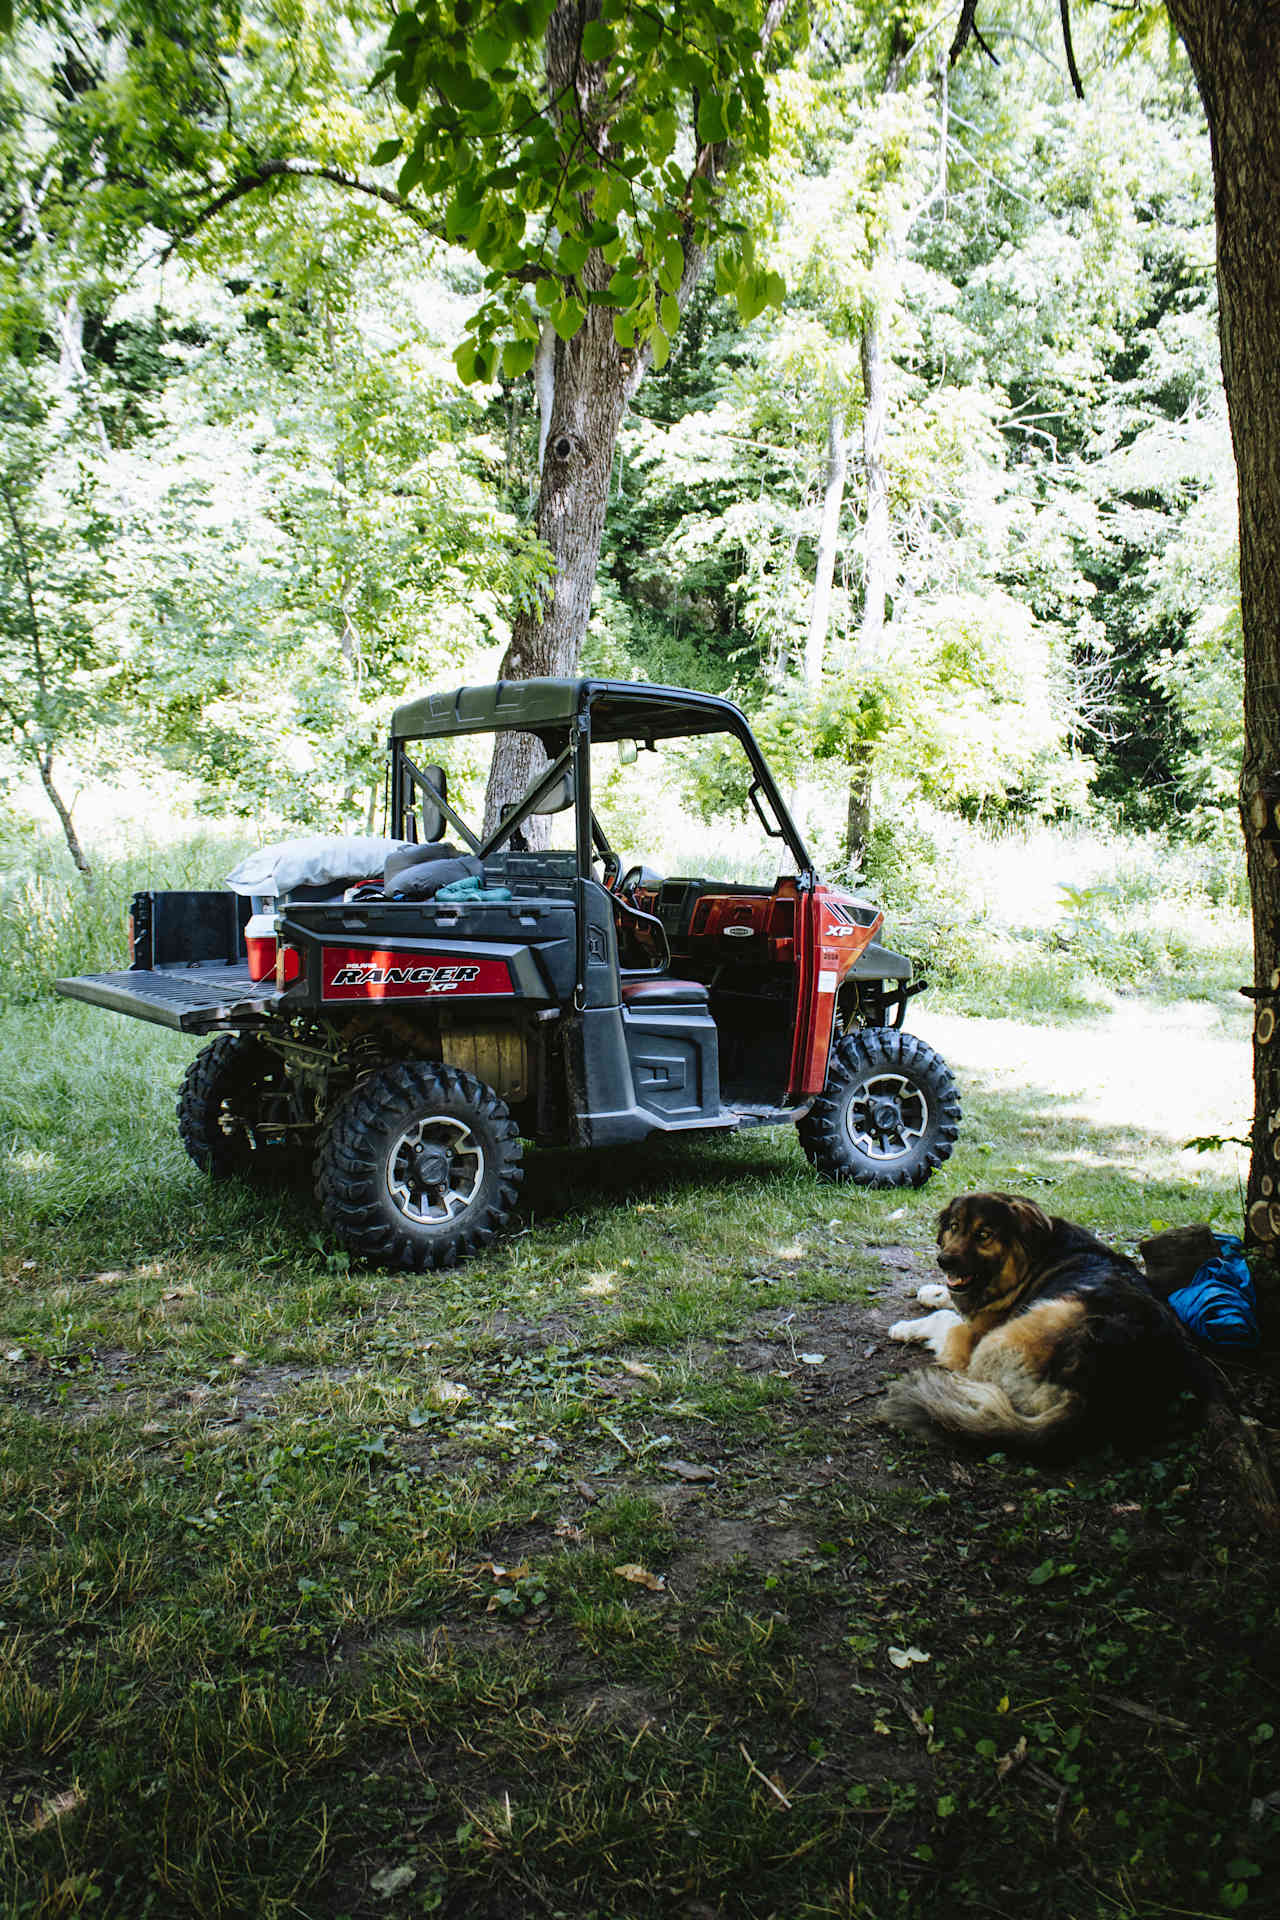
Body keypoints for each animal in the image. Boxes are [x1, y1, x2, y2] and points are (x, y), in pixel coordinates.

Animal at [886, 1182, 1220, 1451]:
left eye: (984, 1234)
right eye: (954, 1227)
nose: (944, 1261)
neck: (1030, 1258)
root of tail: (1090, 1394)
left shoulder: (971, 1336)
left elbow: (946, 1317)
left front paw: (905, 1327)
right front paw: (931, 1291)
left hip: (1024, 1324)